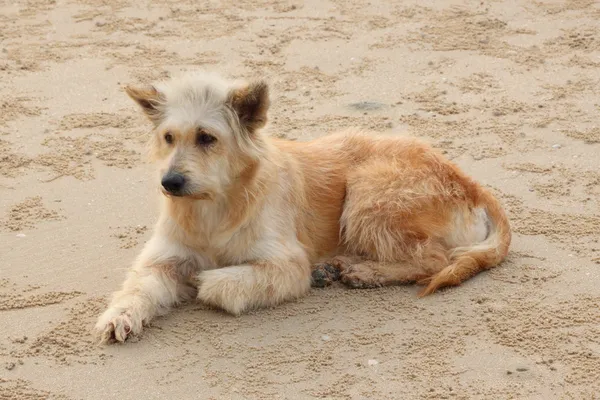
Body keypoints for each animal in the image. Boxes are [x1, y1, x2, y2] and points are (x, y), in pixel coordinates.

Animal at [95, 71, 510, 344]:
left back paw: (363, 272)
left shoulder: (286, 265)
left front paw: (202, 280)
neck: (214, 207)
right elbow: (139, 287)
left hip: (368, 195)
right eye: (169, 137)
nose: (170, 183)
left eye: (206, 137)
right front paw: (120, 316)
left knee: (434, 258)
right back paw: (336, 267)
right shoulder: (162, 259)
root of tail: (471, 184)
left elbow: (217, 284)